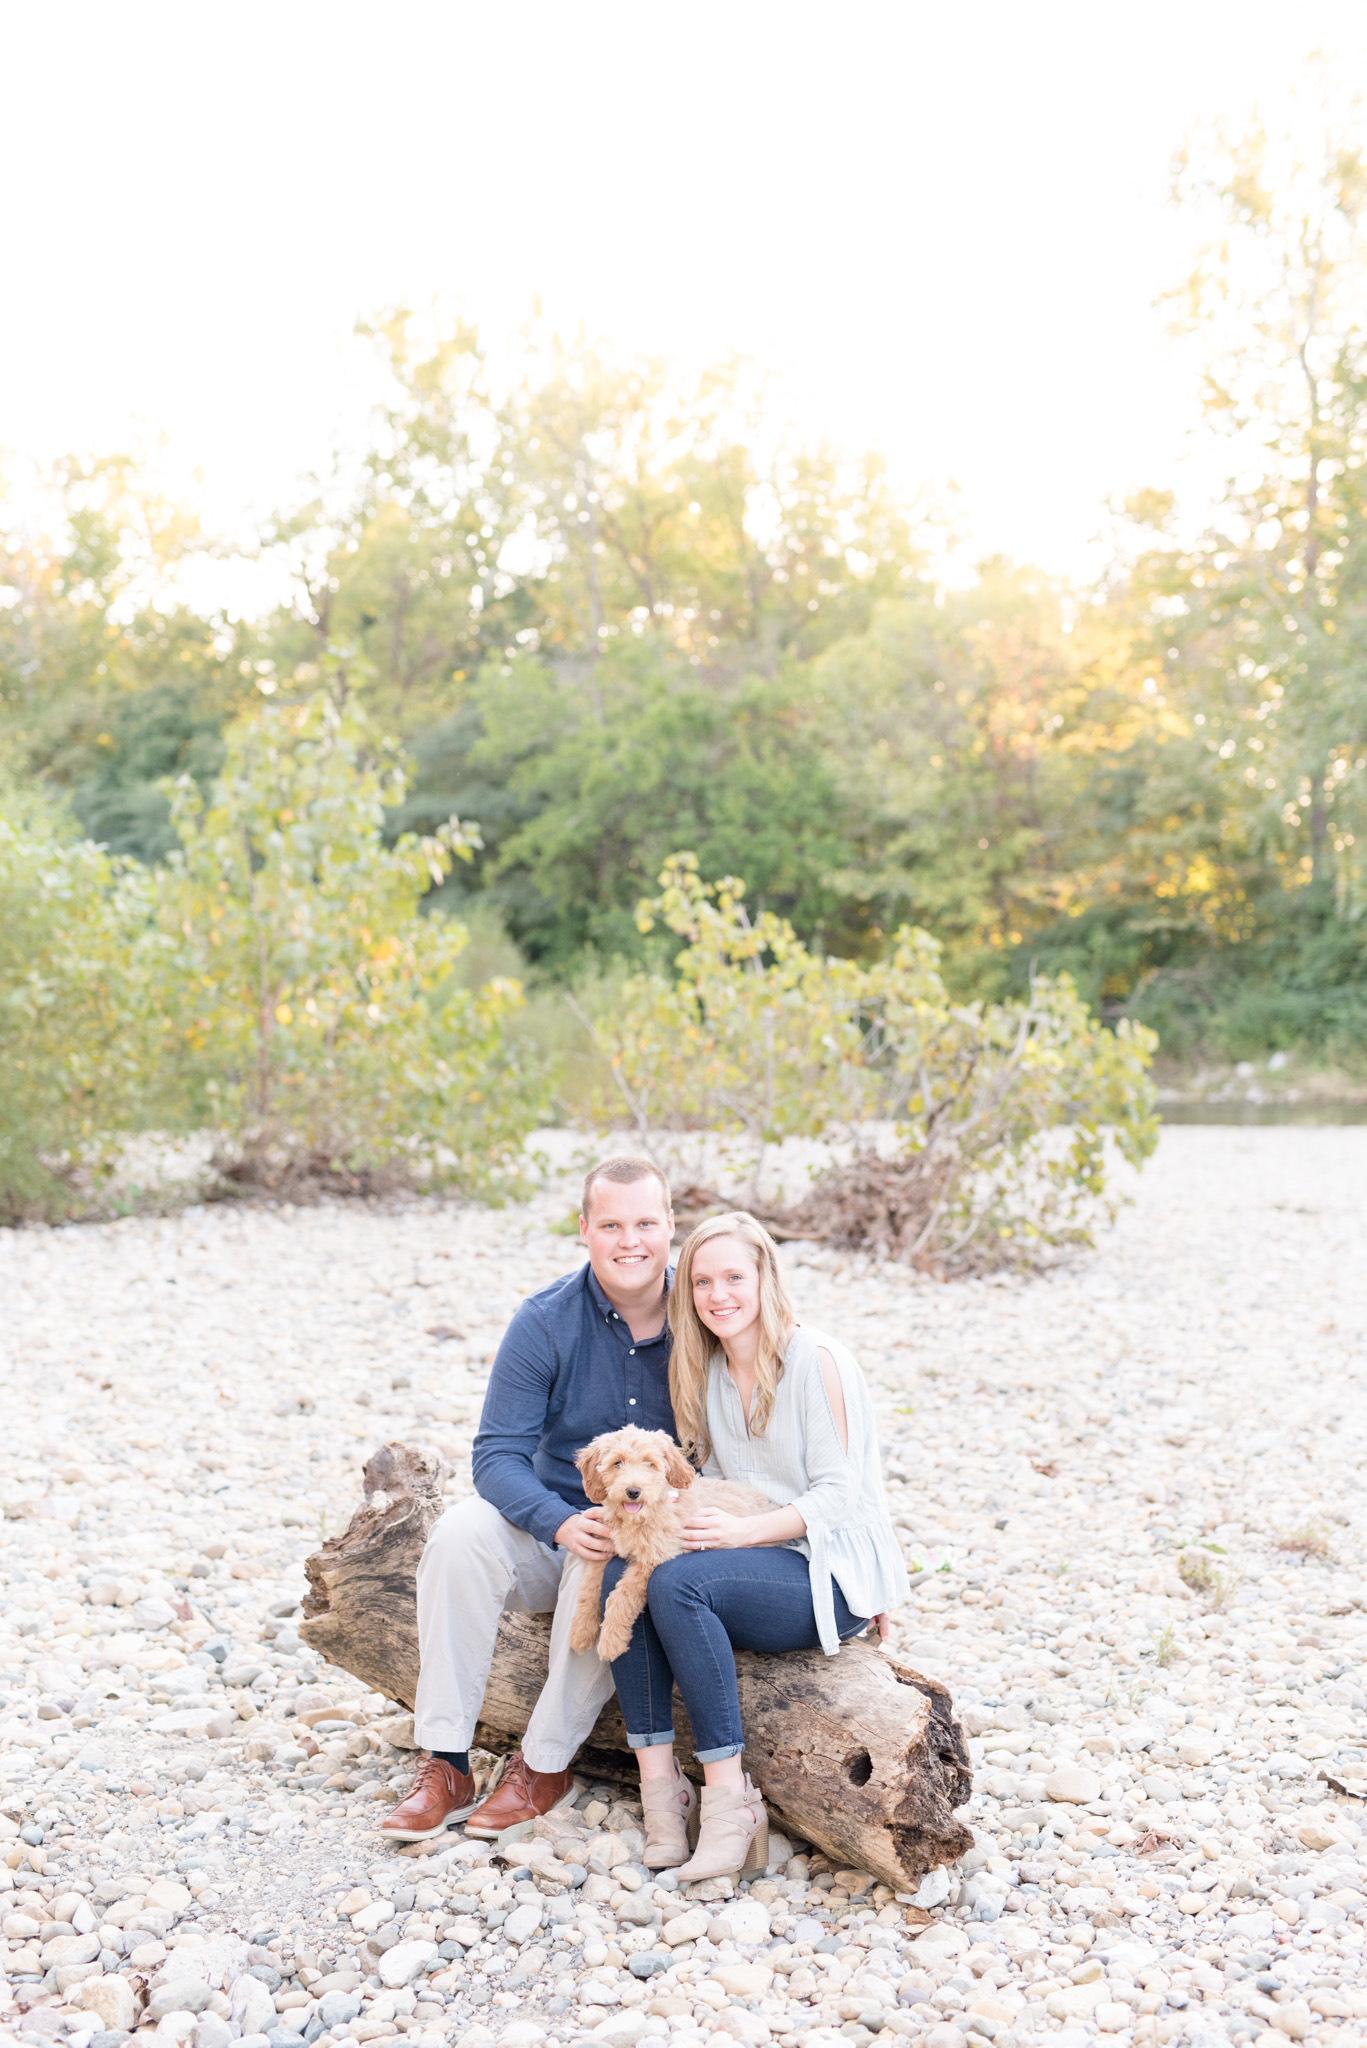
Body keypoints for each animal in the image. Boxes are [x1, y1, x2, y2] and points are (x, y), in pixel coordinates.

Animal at [569, 1425, 770, 1662]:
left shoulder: (657, 1556)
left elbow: (622, 1595)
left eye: (650, 1463)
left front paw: (611, 1642)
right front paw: (581, 1632)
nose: (633, 1491)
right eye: (617, 1463)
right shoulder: (603, 1550)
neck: (636, 1519)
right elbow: (588, 1589)